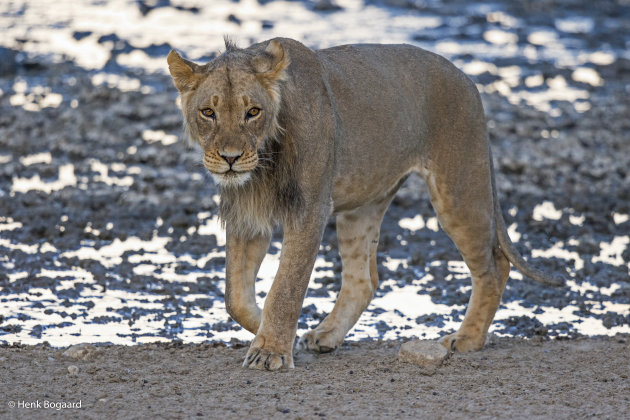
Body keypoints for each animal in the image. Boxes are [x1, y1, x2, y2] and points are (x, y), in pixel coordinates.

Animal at [168, 36, 564, 370]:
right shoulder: (247, 216)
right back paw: (327, 335)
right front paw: (273, 335)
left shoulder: (310, 209)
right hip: (363, 206)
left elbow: (285, 286)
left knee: (494, 266)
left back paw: (467, 338)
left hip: (459, 190)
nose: (230, 158)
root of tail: (467, 79)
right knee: (364, 279)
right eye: (208, 112)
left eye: (252, 112)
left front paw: (271, 351)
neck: (263, 164)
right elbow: (234, 296)